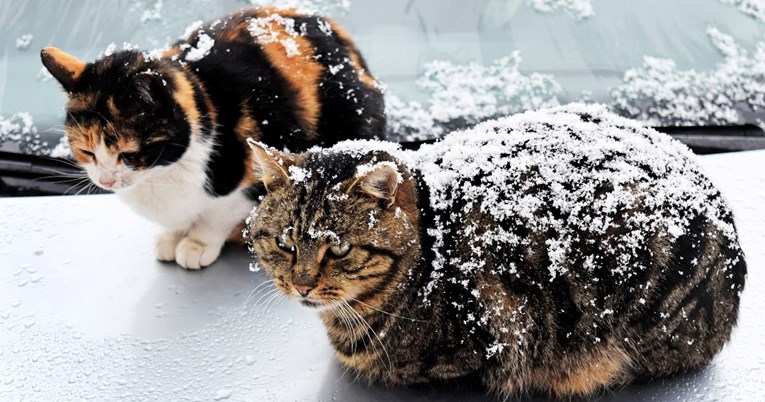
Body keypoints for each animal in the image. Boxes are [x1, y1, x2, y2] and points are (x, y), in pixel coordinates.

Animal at [39, 5, 384, 270]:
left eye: (128, 153)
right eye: (87, 152)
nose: (106, 180)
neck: (159, 176)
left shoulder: (248, 182)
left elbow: (216, 216)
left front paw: (196, 245)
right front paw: (173, 237)